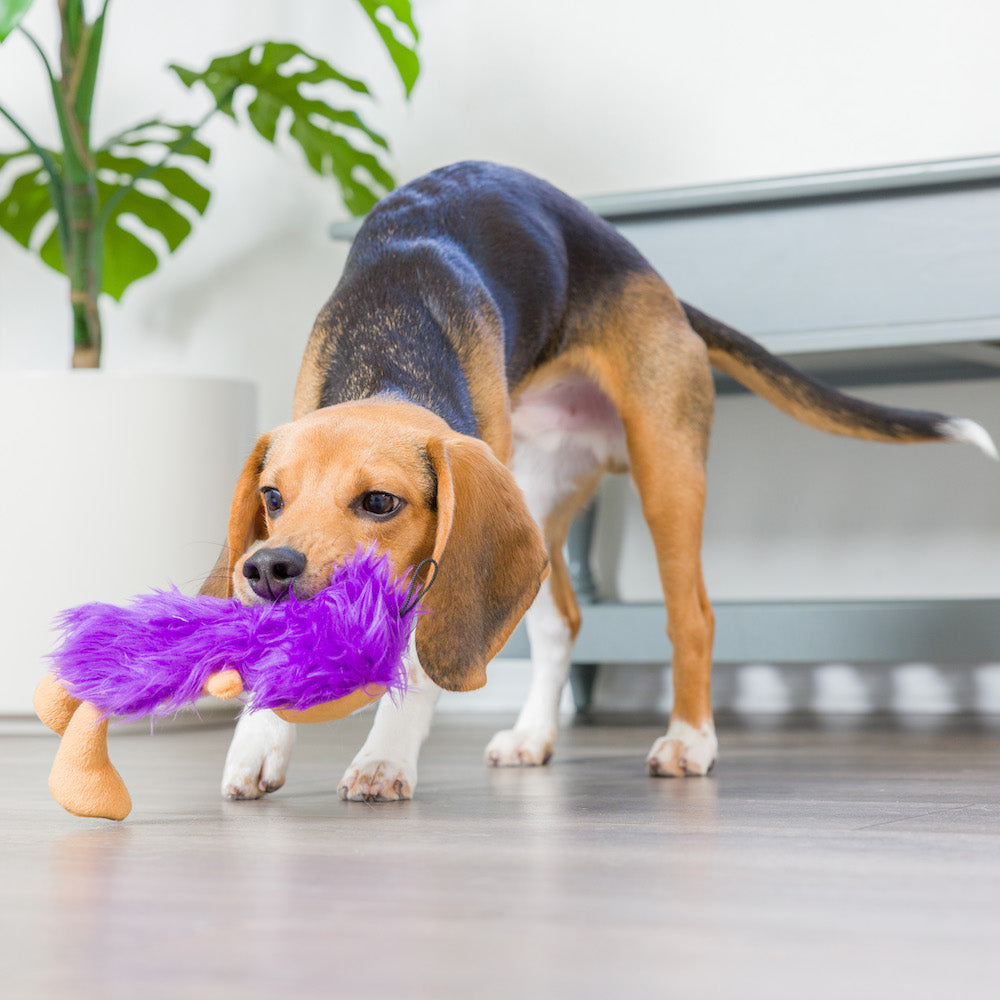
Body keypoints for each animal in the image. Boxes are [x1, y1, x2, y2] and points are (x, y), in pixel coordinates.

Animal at [201, 160, 992, 800]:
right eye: (272, 498)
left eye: (378, 502)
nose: (268, 569)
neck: (389, 355)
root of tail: (658, 285)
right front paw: (260, 739)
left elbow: (422, 666)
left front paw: (385, 759)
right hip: (534, 496)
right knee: (562, 622)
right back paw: (533, 734)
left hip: (667, 473)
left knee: (693, 617)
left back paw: (689, 740)